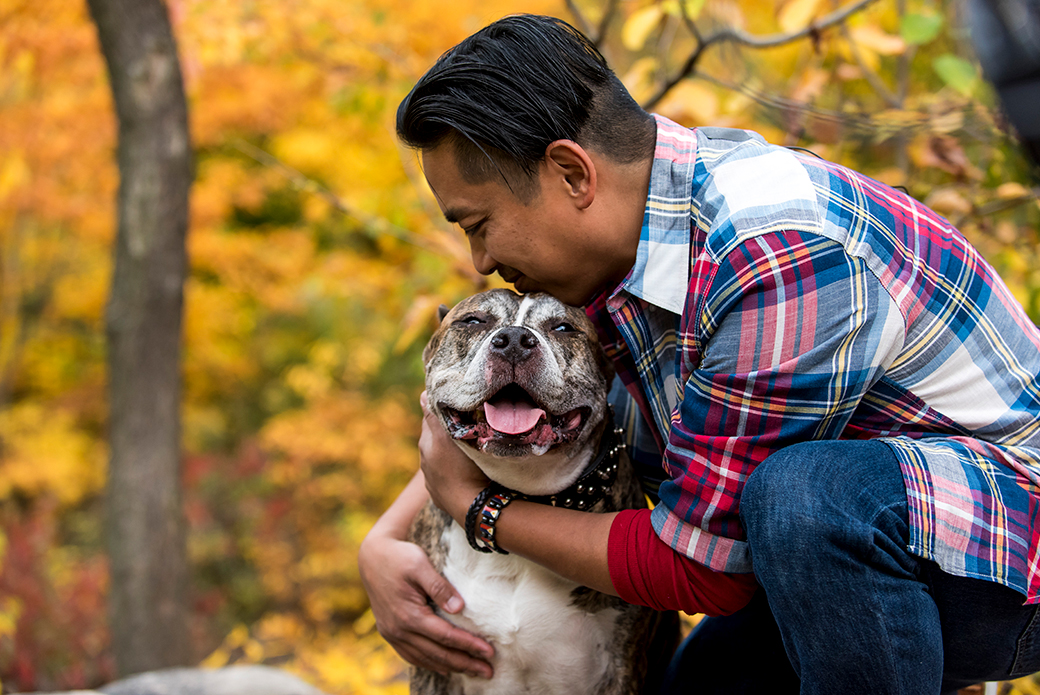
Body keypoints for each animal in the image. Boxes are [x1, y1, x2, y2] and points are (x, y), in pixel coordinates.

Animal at [409, 289, 678, 695]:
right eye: (472, 321)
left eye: (563, 327)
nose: (514, 340)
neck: (520, 493)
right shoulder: (433, 667)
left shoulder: (620, 671)